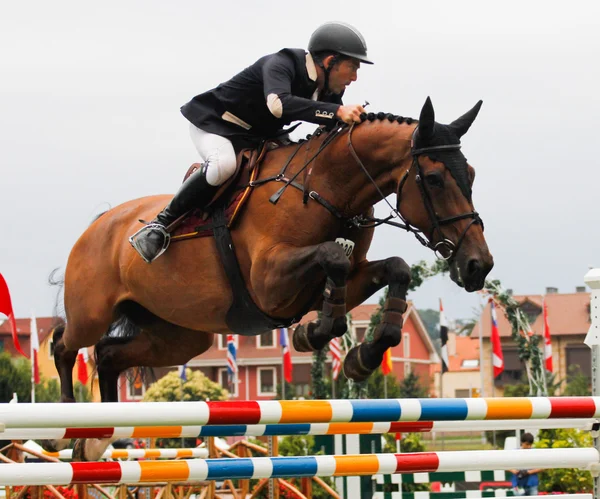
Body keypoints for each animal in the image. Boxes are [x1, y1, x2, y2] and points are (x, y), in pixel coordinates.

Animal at [43, 95, 492, 458]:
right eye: (433, 178)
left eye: (470, 174)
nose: (478, 265)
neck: (325, 187)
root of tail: (101, 224)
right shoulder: (269, 283)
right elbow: (333, 258)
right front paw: (314, 333)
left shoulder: (328, 282)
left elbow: (392, 267)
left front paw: (360, 356)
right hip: (93, 313)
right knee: (65, 342)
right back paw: (61, 426)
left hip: (179, 335)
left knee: (108, 355)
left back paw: (98, 436)